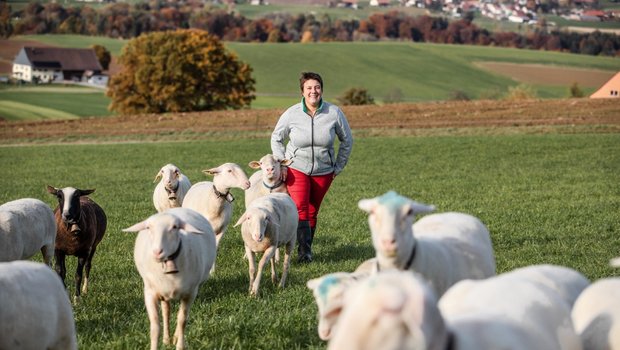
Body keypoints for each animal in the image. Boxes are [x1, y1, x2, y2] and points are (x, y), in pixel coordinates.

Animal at [123, 208, 216, 350]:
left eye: (175, 227)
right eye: (148, 227)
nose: (157, 252)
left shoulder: (190, 293)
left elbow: (182, 321)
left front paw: (180, 345)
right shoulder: (149, 293)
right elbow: (155, 326)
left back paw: (175, 338)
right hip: (162, 292)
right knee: (166, 312)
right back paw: (167, 339)